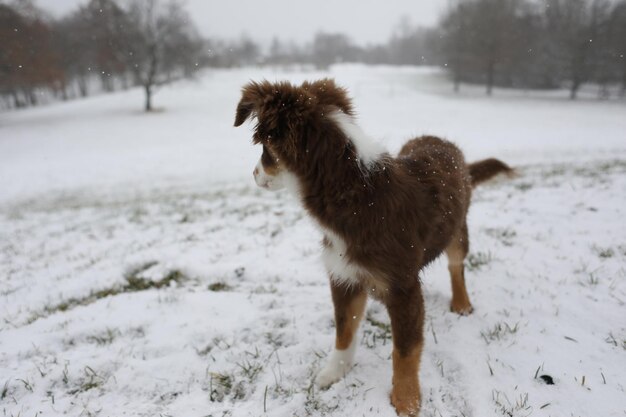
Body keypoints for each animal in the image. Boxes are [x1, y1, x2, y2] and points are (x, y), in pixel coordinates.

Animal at [233, 79, 508, 416]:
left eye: (265, 151)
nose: (254, 175)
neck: (355, 192)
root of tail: (443, 141)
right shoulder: (343, 274)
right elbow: (344, 330)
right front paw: (333, 372)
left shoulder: (402, 286)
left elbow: (405, 349)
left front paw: (406, 400)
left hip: (458, 232)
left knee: (457, 266)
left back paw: (461, 302)